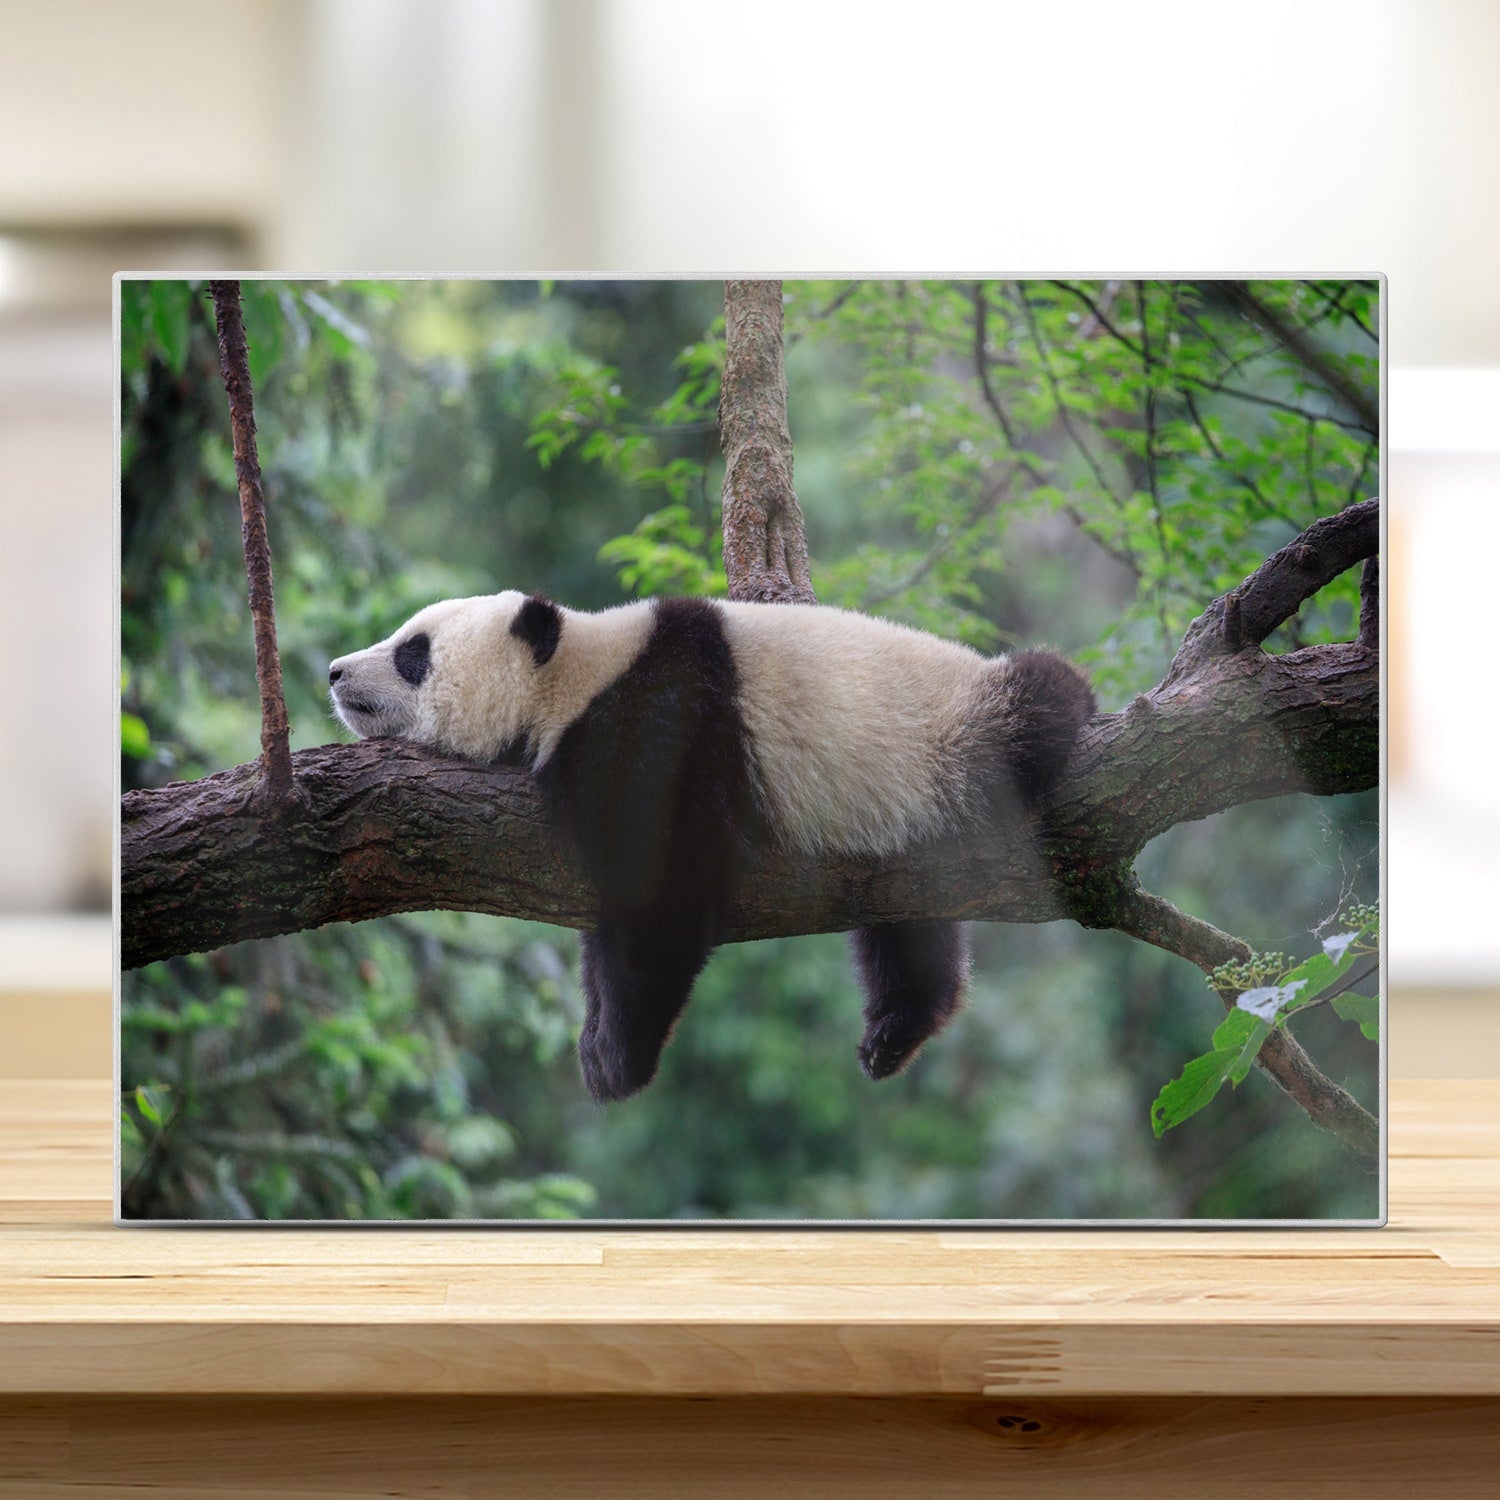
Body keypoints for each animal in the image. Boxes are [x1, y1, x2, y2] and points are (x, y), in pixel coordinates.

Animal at [328, 592, 1094, 1103]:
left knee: (1040, 701)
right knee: (908, 927)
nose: (335, 671)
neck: (576, 673)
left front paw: (616, 1058)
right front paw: (597, 1038)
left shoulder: (660, 724)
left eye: (413, 653)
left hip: (950, 735)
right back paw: (896, 1029)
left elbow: (661, 894)